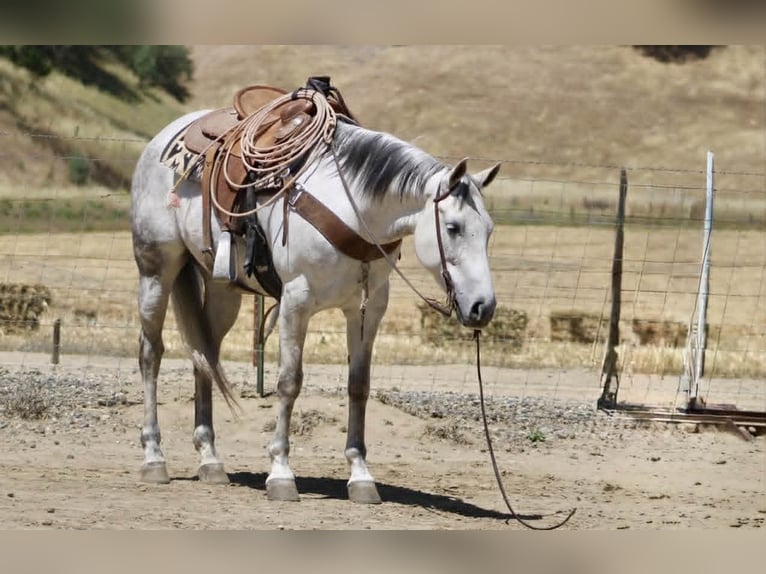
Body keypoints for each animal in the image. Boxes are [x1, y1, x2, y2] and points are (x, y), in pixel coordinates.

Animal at [130, 90, 500, 503]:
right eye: (452, 227)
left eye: (488, 230)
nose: (483, 307)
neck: (351, 206)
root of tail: (162, 138)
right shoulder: (296, 301)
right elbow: (289, 381)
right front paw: (280, 473)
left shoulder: (368, 309)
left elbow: (359, 386)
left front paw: (360, 475)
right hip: (156, 268)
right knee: (151, 353)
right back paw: (154, 457)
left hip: (222, 290)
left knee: (204, 355)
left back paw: (210, 459)